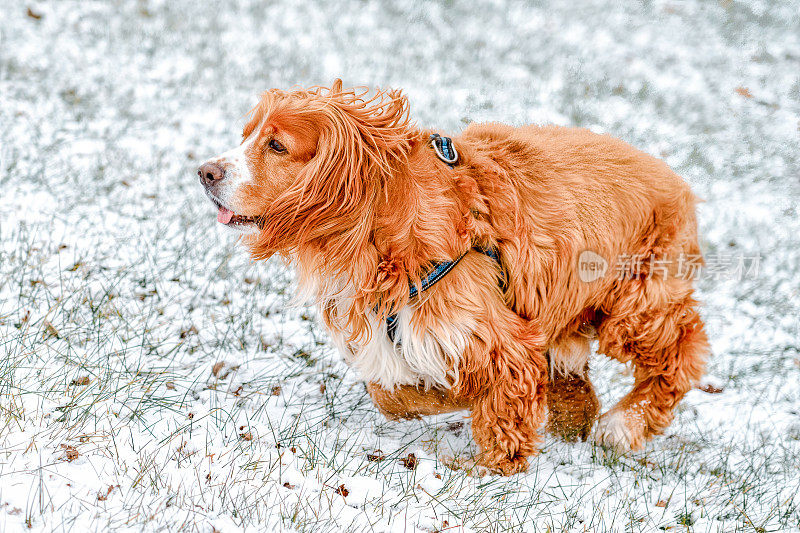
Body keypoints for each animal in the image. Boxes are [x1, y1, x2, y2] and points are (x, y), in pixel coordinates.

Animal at [197, 81, 708, 476]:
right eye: (246, 135)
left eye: (277, 146)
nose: (205, 172)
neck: (383, 221)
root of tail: (677, 179)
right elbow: (391, 394)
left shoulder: (494, 339)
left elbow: (498, 410)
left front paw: (490, 466)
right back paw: (575, 408)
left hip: (637, 305)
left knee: (681, 352)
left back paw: (624, 424)